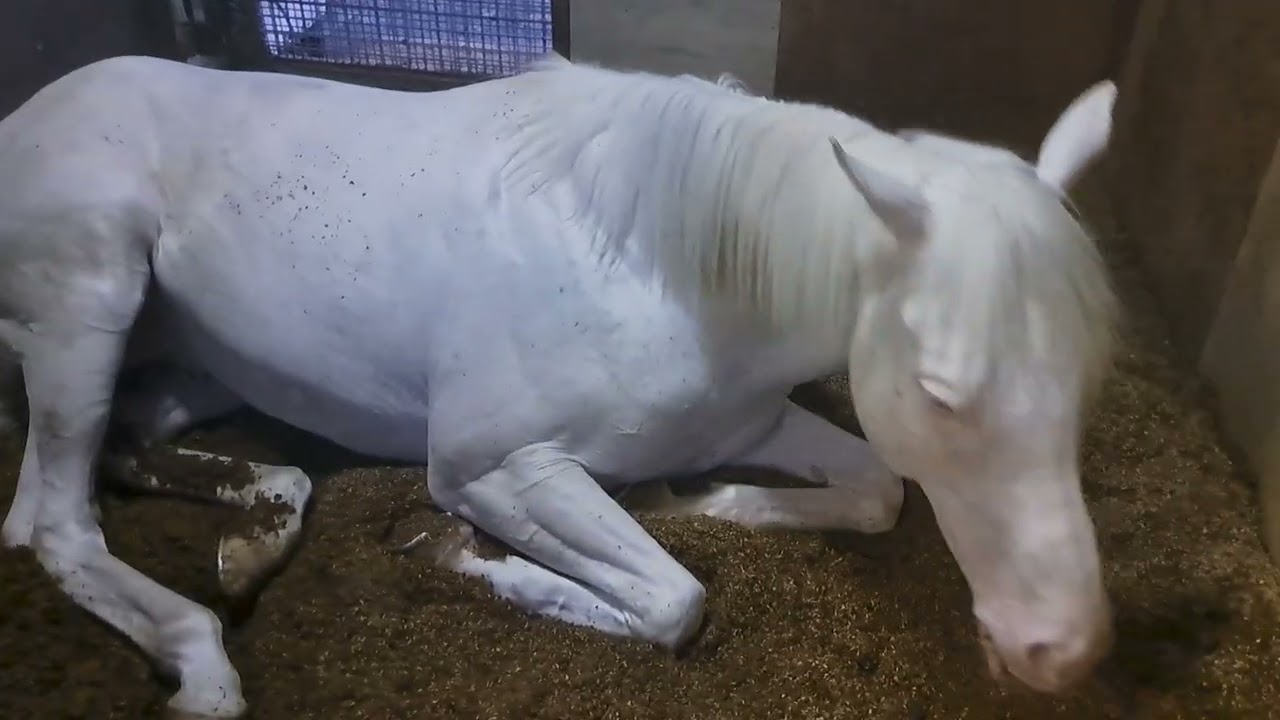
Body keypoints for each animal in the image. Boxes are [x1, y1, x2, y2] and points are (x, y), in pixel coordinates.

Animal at [0, 53, 1119, 718]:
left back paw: (257, 535)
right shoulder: (494, 469)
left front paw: (697, 499)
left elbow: (878, 492)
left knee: (124, 448)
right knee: (53, 522)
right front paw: (450, 549)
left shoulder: (753, 422)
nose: (1060, 651)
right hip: (90, 304)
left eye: (1085, 376)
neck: (659, 266)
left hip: (195, 362)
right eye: (941, 392)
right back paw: (201, 664)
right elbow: (672, 600)